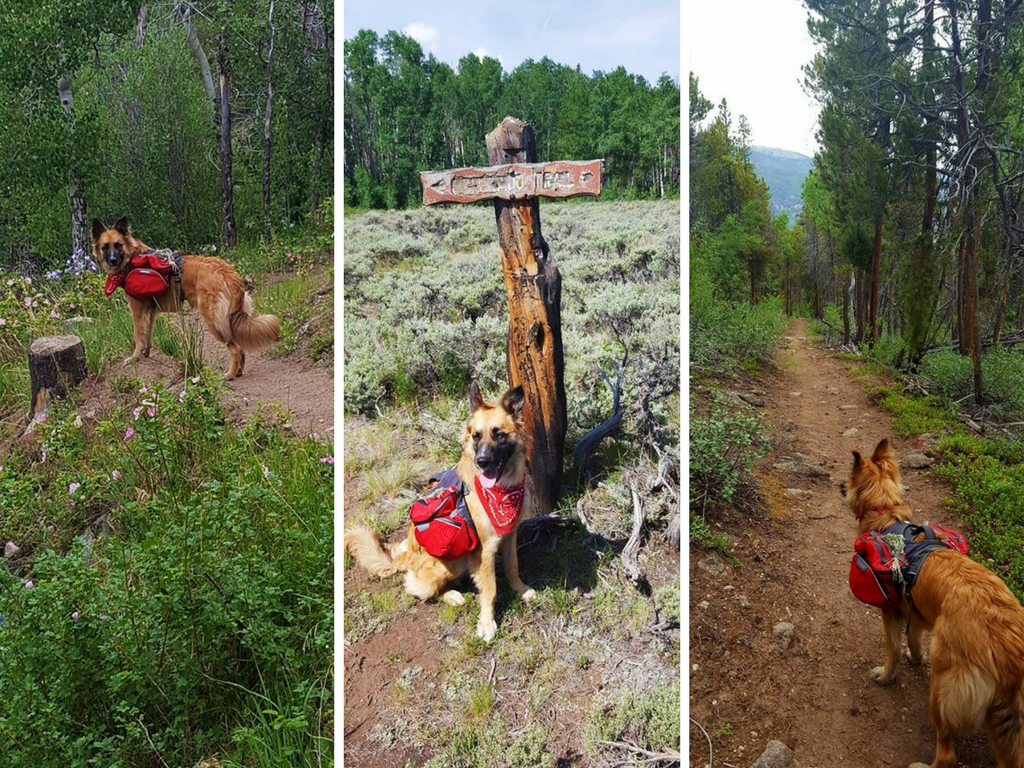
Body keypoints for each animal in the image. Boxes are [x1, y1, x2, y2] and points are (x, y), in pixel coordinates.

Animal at [89, 218, 276, 380]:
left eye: (118, 245)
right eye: (105, 247)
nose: (113, 260)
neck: (133, 258)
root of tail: (227, 271)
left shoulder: (137, 309)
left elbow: (138, 335)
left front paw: (134, 357)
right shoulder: (150, 311)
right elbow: (147, 334)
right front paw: (146, 354)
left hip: (214, 320)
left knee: (235, 349)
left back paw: (229, 374)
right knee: (240, 348)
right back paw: (238, 372)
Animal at [344, 382, 536, 643]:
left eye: (499, 434)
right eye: (476, 435)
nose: (482, 461)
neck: (502, 491)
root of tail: (406, 558)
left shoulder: (510, 535)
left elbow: (512, 567)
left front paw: (521, 589)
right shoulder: (485, 550)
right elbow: (490, 589)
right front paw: (487, 623)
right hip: (450, 562)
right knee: (418, 587)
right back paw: (452, 595)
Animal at [843, 438, 1024, 768]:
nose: (838, 486)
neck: (887, 514)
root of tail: (1010, 648)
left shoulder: (890, 611)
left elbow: (893, 649)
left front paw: (886, 675)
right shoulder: (914, 610)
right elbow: (913, 640)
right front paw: (916, 658)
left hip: (942, 687)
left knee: (947, 754)